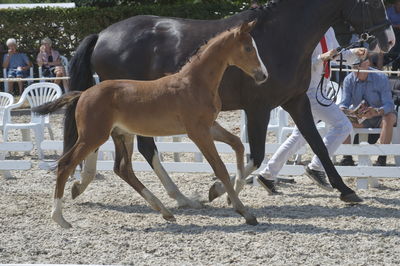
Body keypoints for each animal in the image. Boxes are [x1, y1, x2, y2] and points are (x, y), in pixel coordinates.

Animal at [33, 20, 266, 229]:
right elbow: (220, 168)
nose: (263, 75)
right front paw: (244, 212)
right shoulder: (198, 132)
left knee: (123, 169)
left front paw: (233, 190)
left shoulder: (209, 126)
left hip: (121, 134)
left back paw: (164, 211)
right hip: (93, 135)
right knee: (65, 164)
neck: (195, 83)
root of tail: (83, 94)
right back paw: (59, 218)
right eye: (248, 48)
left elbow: (237, 144)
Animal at [66, 0, 394, 206]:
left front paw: (346, 190)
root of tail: (102, 34)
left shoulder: (297, 102)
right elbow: (255, 155)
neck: (280, 37)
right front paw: (218, 190)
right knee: (131, 146)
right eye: (372, 2)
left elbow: (318, 145)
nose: (389, 41)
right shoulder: (259, 107)